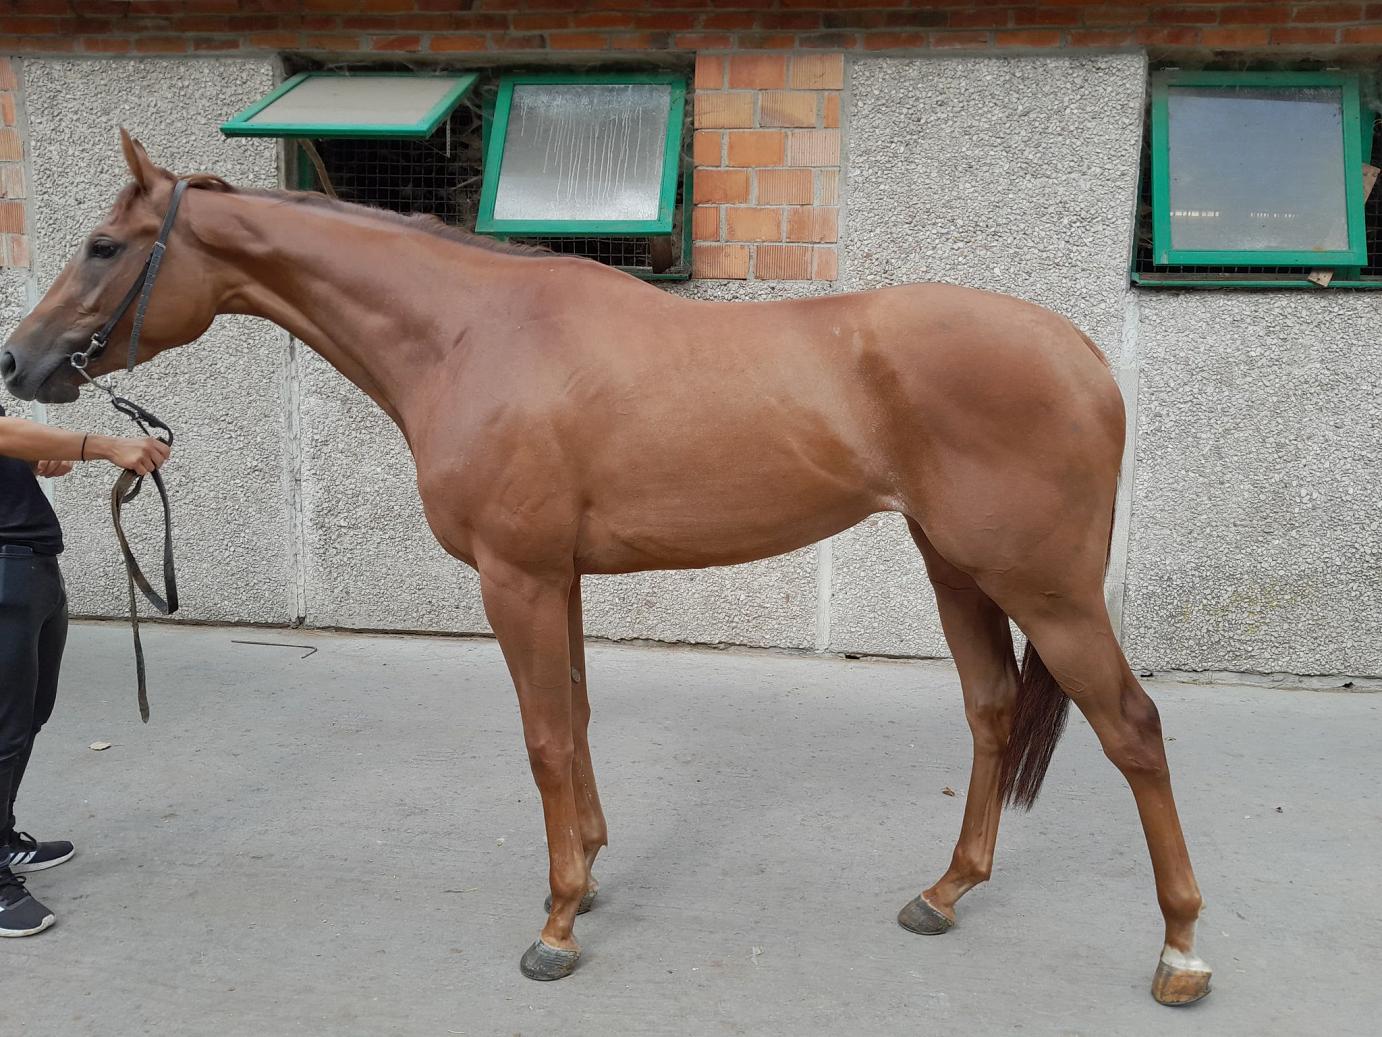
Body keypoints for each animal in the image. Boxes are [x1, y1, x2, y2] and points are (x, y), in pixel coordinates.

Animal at [1, 132, 1210, 1006]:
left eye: (103, 245)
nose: (20, 360)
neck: (471, 333)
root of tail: (1081, 353)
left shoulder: (518, 576)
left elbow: (543, 738)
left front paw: (553, 923)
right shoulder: (560, 577)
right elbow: (575, 721)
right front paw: (587, 876)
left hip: (1045, 586)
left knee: (1134, 727)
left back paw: (1181, 952)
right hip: (955, 565)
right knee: (992, 708)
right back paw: (944, 892)